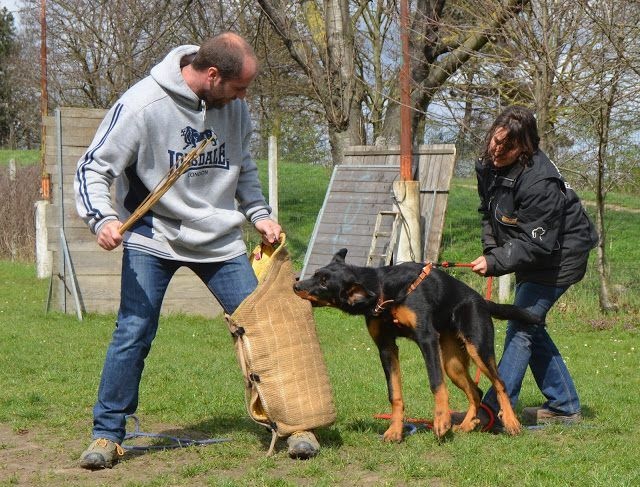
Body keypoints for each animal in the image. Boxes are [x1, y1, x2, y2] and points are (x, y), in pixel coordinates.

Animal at [294, 252, 540, 442]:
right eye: (316, 274)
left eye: (324, 282)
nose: (295, 285)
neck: (385, 291)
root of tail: (482, 301)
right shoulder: (386, 347)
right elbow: (394, 393)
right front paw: (395, 431)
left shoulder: (426, 339)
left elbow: (436, 383)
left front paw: (441, 420)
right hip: (452, 364)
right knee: (476, 391)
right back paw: (467, 425)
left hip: (478, 348)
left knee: (500, 384)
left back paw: (511, 422)